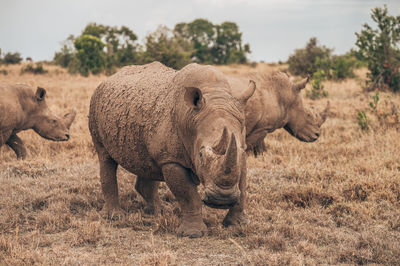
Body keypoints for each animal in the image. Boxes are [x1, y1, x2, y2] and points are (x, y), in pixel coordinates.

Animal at [88, 61, 255, 237]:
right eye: (201, 155)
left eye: (242, 151)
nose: (222, 199)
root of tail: (106, 80)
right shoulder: (171, 159)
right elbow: (188, 195)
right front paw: (192, 234)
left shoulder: (240, 150)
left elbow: (242, 185)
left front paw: (238, 224)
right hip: (95, 105)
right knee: (105, 158)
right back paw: (114, 216)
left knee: (146, 162)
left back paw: (157, 212)